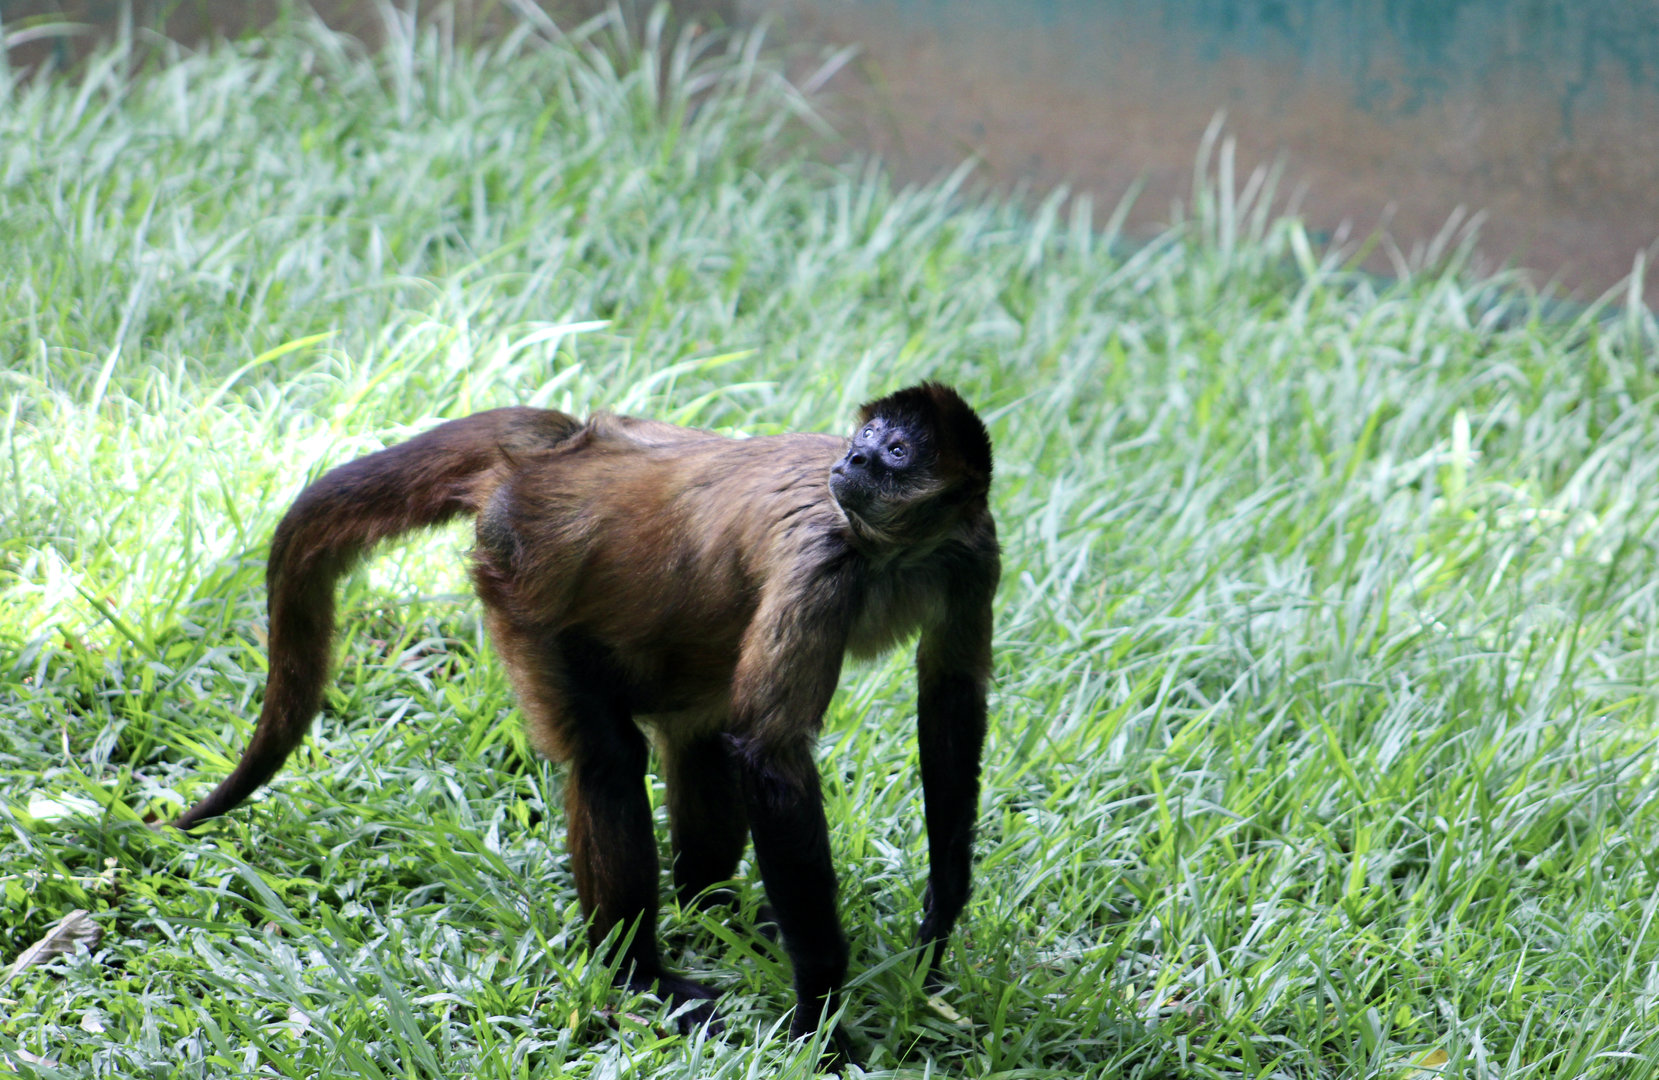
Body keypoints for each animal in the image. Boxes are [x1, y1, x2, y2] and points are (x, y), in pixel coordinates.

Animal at [172, 382, 999, 1061]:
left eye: (895, 451)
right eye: (866, 437)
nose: (852, 457)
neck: (895, 554)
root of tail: (561, 453)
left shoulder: (971, 551)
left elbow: (949, 696)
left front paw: (940, 914)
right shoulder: (822, 559)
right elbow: (768, 752)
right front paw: (824, 1017)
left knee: (697, 737)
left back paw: (709, 909)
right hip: (522, 584)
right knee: (610, 758)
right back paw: (638, 973)